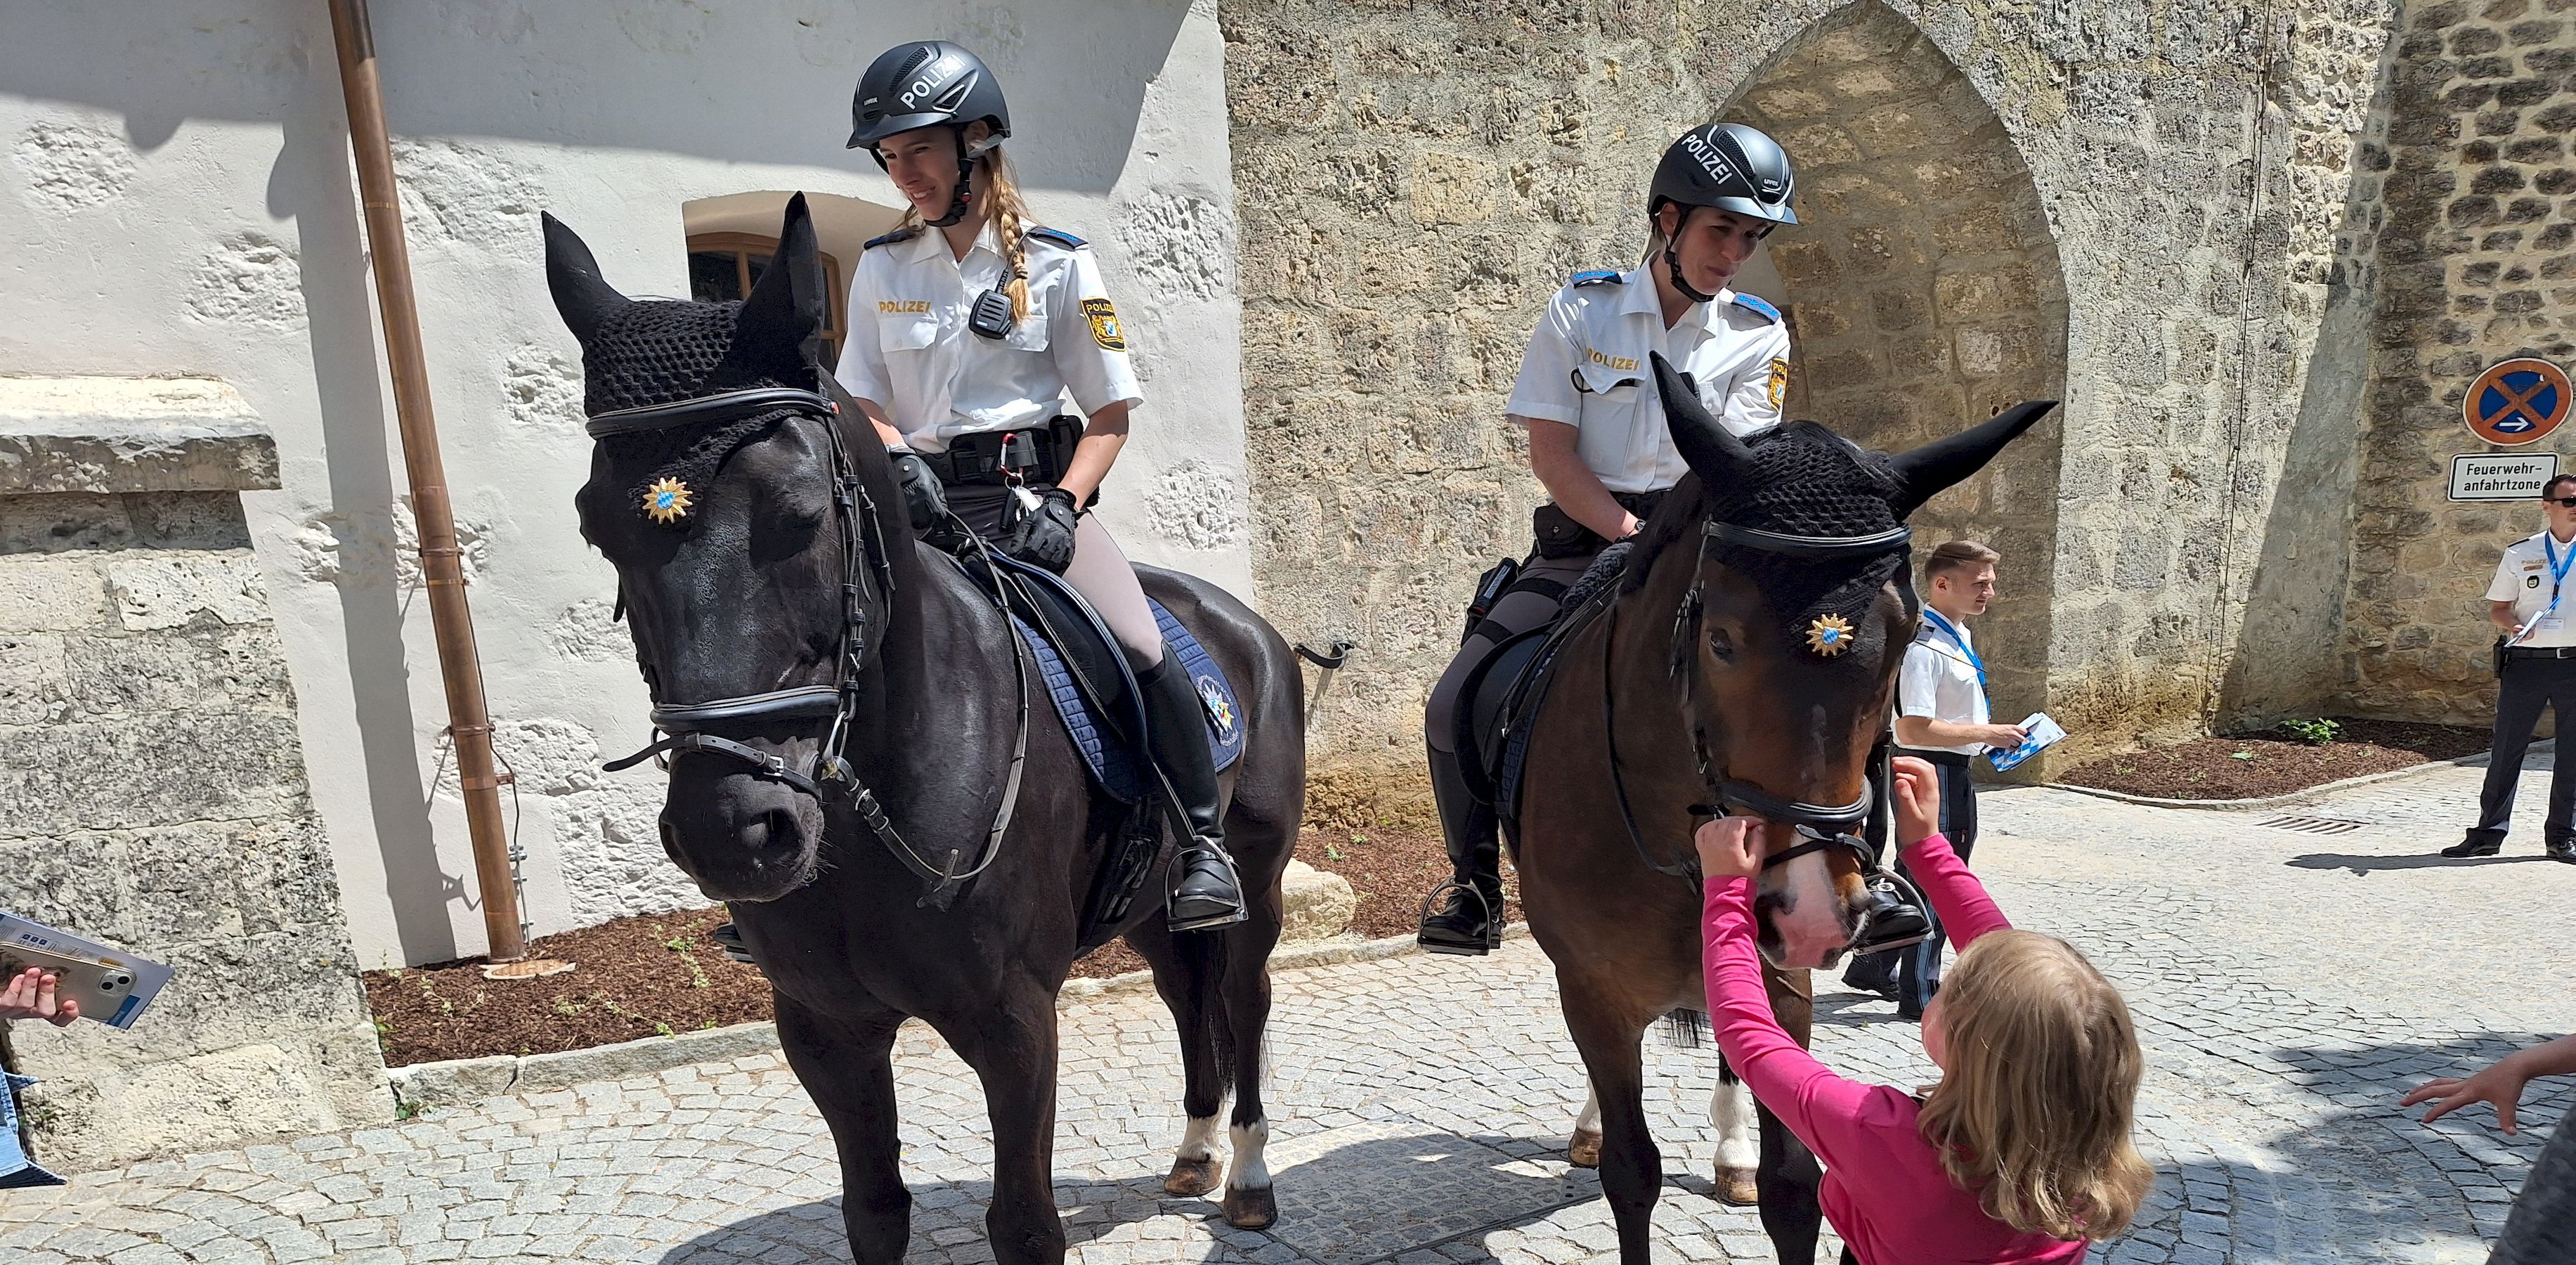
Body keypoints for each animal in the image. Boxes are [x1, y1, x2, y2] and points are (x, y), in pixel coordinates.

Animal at [542, 195, 1304, 1264]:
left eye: (801, 514)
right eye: (594, 525)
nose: (731, 831)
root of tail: (1249, 627)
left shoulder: (1015, 1024)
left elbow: (1023, 1224)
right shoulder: (825, 1029)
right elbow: (875, 1211)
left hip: (1256, 890)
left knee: (1242, 998)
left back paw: (1248, 1175)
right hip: (1152, 911)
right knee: (1187, 1002)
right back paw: (1193, 1153)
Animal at [1514, 353, 2052, 1262]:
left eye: (1904, 639)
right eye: (1721, 641)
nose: (1806, 907)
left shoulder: (1785, 982)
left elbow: (1793, 1184)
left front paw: (1752, 1161)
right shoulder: (1593, 988)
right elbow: (1632, 1169)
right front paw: (1609, 1140)